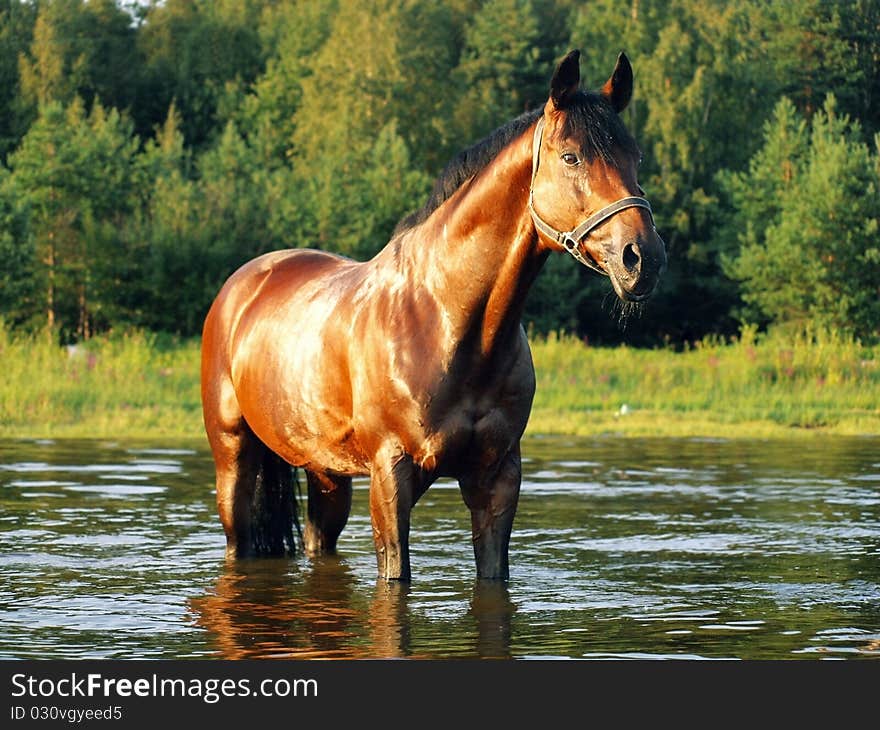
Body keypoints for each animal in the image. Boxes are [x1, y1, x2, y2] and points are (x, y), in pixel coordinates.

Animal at [199, 48, 668, 576]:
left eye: (635, 157)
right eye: (571, 156)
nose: (642, 258)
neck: (444, 320)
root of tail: (244, 283)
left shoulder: (497, 477)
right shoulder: (391, 476)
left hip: (327, 473)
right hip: (233, 458)